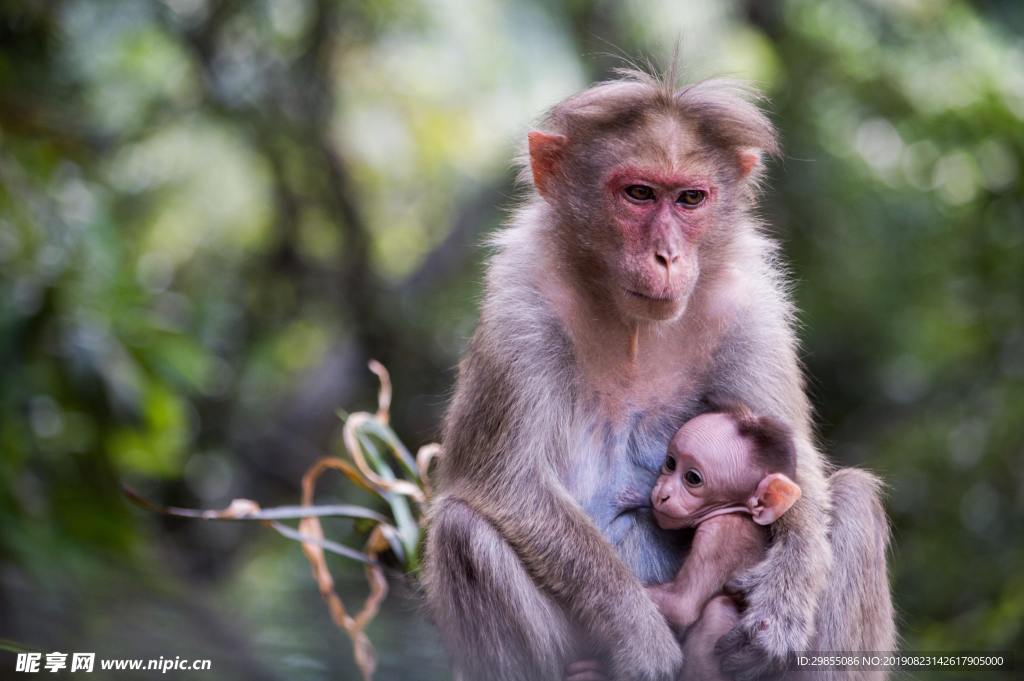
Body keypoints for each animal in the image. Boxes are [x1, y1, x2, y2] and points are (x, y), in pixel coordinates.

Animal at [569, 405, 798, 679]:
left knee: (717, 610)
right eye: (670, 463)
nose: (662, 494)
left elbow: (683, 605)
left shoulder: (717, 535)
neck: (736, 511)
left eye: (693, 478)